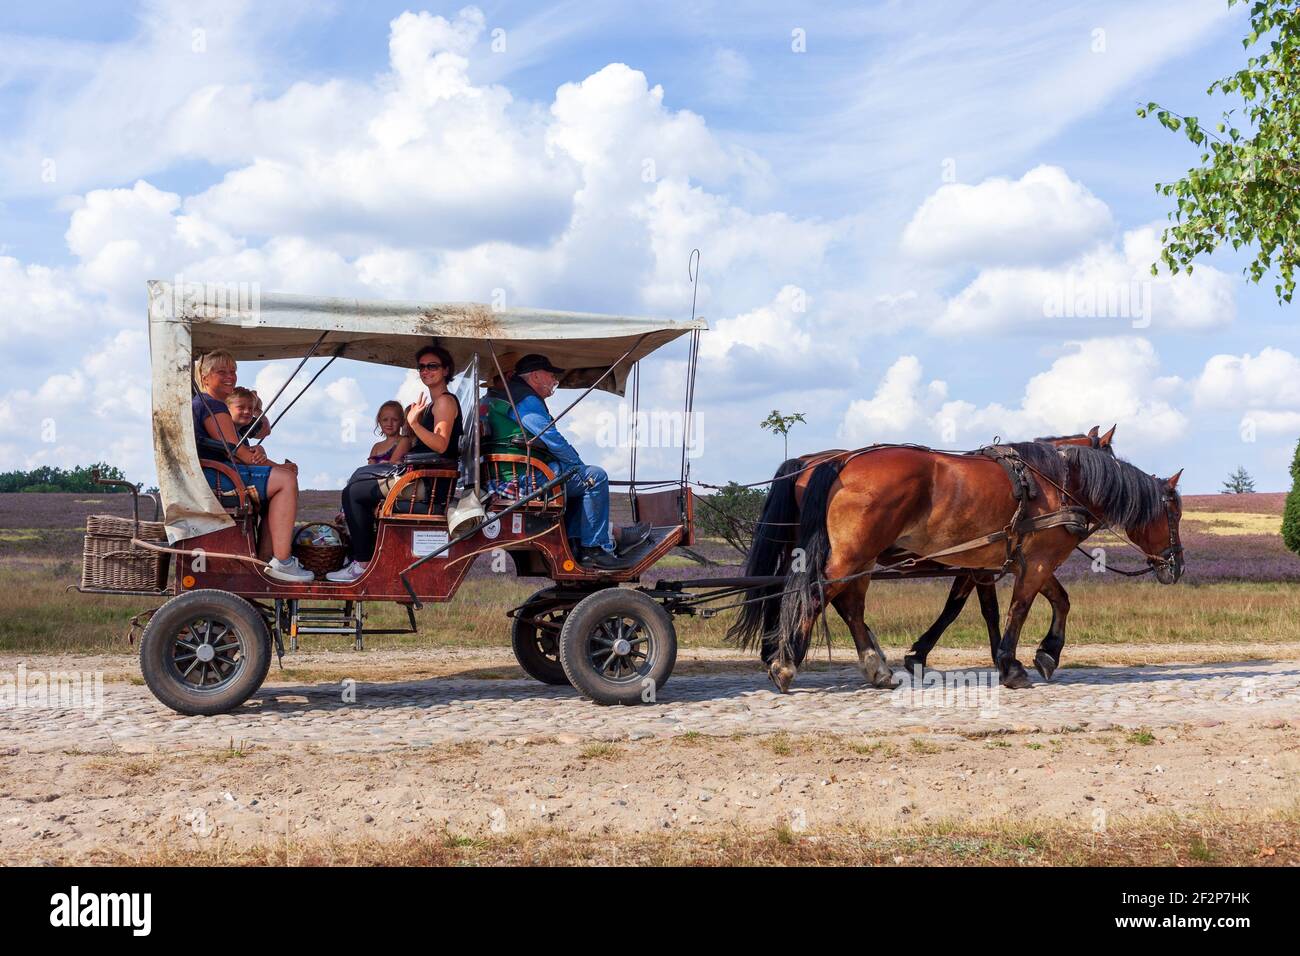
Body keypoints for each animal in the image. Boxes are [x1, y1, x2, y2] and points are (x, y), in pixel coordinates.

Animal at [738, 437, 1185, 691]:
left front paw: (1044, 654)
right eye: (1174, 514)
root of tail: (839, 462)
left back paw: (873, 667)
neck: (1055, 483)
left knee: (846, 605)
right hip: (852, 555)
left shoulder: (1008, 562)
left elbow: (1051, 601)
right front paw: (1011, 664)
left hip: (858, 557)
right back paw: (784, 663)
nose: (1177, 567)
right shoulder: (1035, 560)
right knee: (817, 596)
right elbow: (1016, 609)